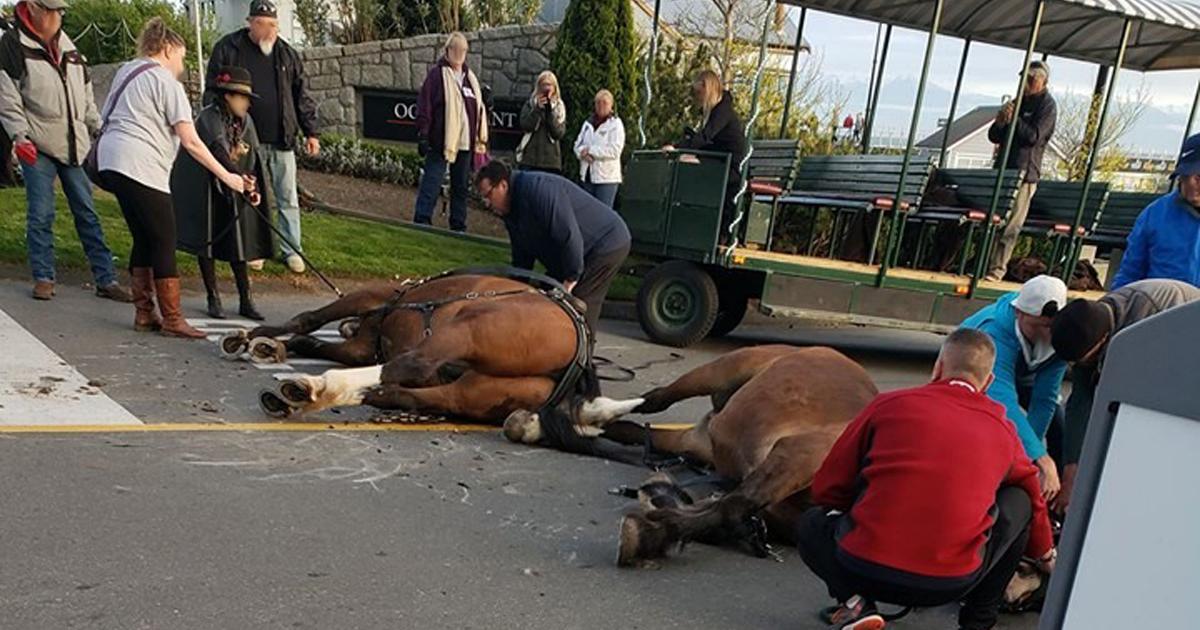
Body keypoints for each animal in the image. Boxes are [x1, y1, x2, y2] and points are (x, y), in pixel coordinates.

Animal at [226, 272, 638, 429]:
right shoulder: (360, 348)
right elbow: (310, 339)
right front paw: (269, 346)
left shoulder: (372, 298)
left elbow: (307, 320)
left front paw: (253, 337)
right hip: (474, 392)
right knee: (400, 391)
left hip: (466, 328)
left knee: (413, 365)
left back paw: (316, 387)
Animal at [595, 343, 878, 564]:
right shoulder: (799, 452)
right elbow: (734, 505)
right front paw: (652, 530)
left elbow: (724, 515)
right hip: (720, 371)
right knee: (656, 399)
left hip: (696, 442)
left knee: (636, 433)